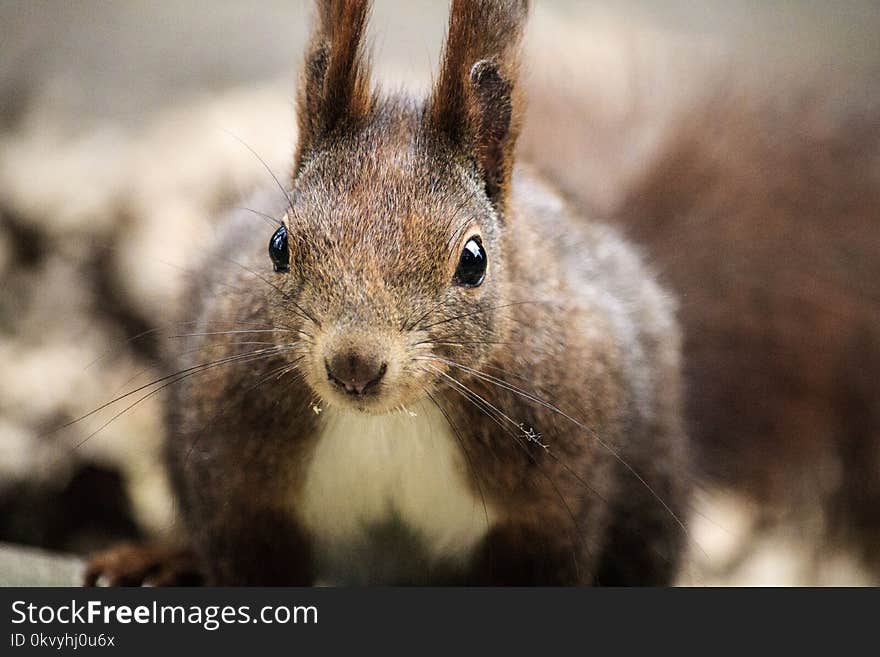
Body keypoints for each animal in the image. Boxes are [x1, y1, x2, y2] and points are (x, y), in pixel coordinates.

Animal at [82, 0, 692, 584]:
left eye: (474, 261)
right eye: (279, 244)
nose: (354, 364)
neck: (392, 420)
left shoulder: (546, 506)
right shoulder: (240, 487)